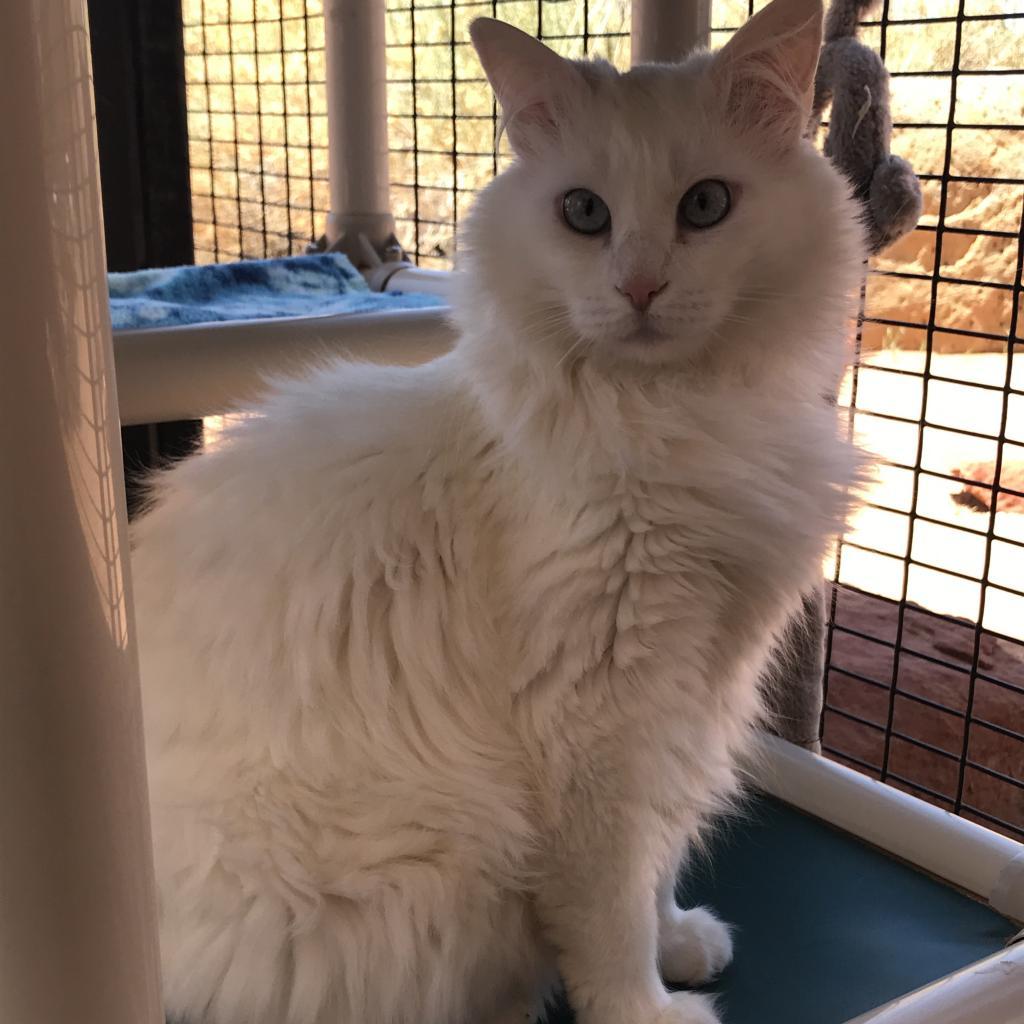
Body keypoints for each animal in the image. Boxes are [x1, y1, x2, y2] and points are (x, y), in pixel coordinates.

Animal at [128, 2, 864, 1024]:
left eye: (706, 206)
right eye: (584, 213)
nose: (639, 287)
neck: (676, 417)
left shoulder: (692, 693)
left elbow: (659, 863)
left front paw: (681, 943)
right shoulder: (600, 716)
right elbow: (611, 907)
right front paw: (646, 1009)